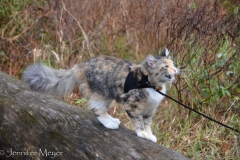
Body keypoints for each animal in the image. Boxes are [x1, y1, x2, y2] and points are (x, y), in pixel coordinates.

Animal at [23, 47, 178, 142]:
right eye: (166, 66)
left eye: (172, 63)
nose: (176, 70)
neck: (150, 84)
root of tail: (80, 65)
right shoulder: (132, 105)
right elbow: (138, 122)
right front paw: (142, 134)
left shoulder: (150, 109)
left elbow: (147, 123)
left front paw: (149, 135)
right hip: (102, 94)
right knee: (97, 109)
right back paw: (110, 124)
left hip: (107, 97)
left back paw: (113, 120)